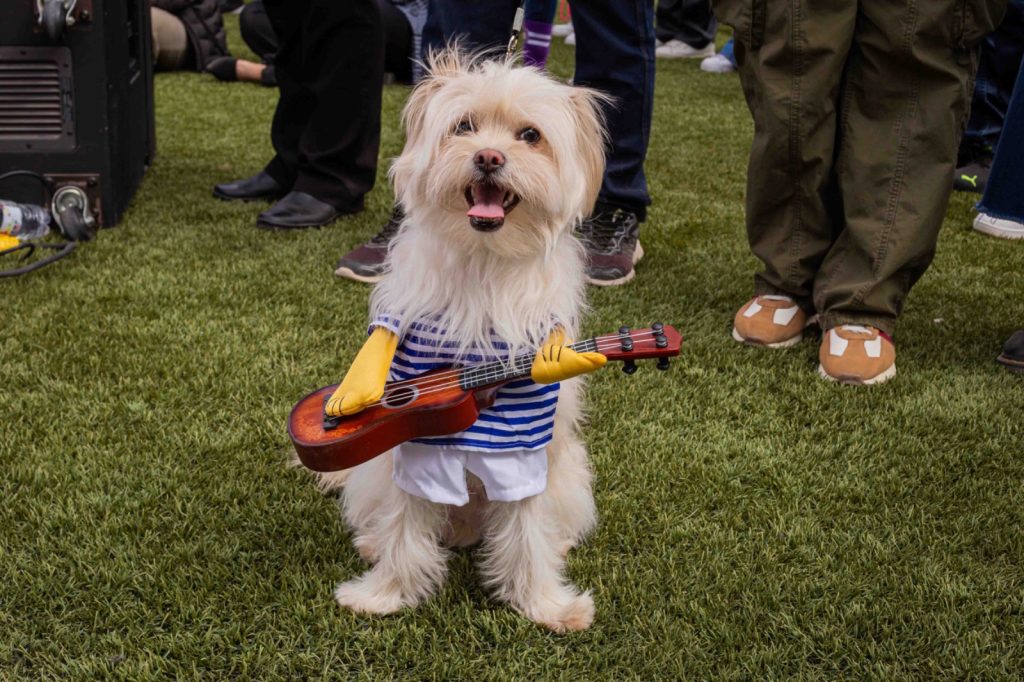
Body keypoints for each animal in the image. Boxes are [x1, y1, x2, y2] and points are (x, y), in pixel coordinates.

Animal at [319, 50, 606, 630]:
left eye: (530, 135)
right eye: (464, 126)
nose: (489, 157)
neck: (483, 266)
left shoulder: (522, 440)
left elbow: (525, 529)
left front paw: (544, 604)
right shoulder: (416, 438)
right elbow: (407, 523)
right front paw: (386, 593)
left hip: (570, 479)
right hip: (374, 471)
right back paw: (372, 543)